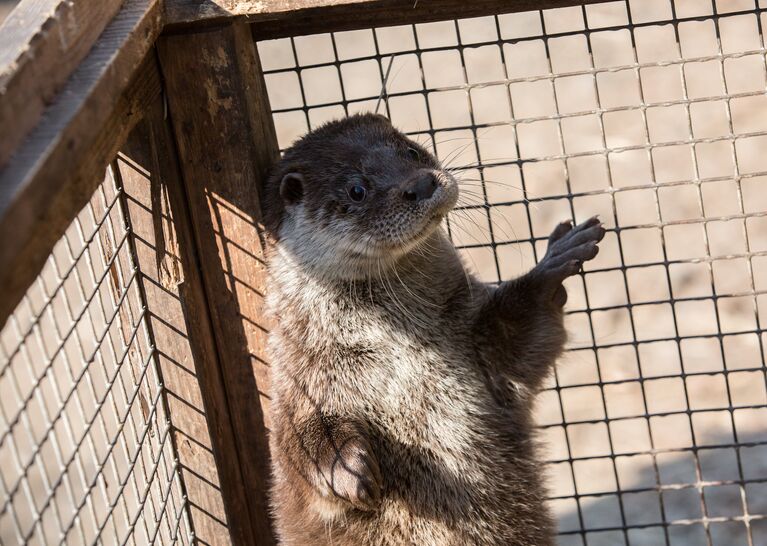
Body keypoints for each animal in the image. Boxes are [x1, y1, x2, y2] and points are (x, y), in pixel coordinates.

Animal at [264, 112, 608, 540]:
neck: (396, 343)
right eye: (357, 190)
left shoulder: (478, 337)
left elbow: (521, 330)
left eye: (411, 152)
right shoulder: (297, 380)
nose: (420, 183)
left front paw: (554, 262)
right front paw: (346, 469)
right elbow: (294, 443)